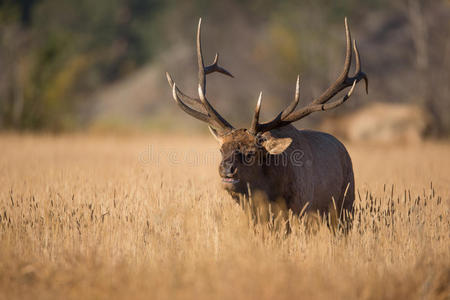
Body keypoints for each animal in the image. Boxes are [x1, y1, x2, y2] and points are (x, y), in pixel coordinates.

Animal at [166, 18, 370, 220]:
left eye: (251, 153)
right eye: (221, 149)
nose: (226, 170)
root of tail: (343, 146)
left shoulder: (302, 208)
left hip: (346, 205)